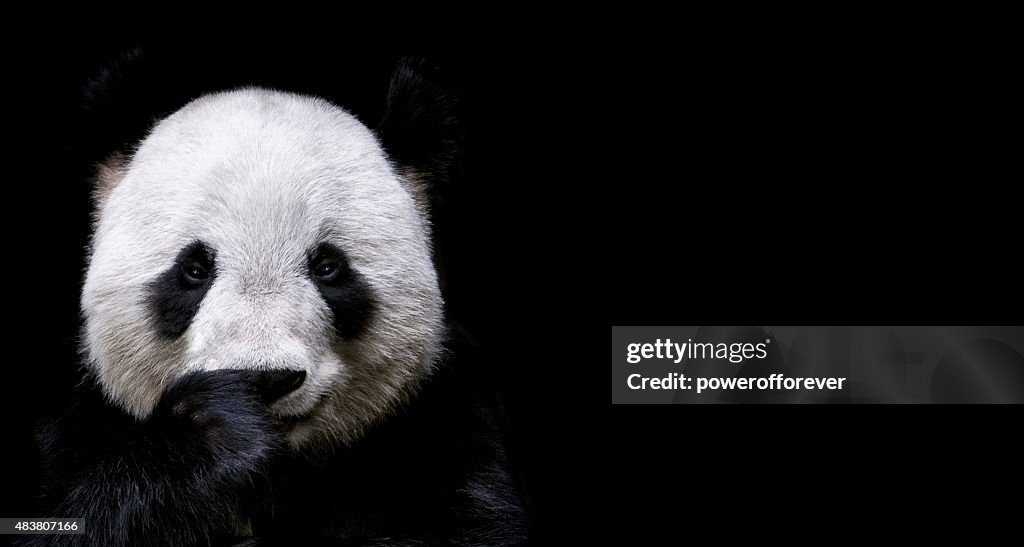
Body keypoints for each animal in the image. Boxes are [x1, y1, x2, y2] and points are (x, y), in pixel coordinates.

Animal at [21, 58, 530, 546]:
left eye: (327, 267)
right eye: (194, 270)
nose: (266, 379)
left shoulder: (447, 417)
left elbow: (469, 525)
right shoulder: (72, 419)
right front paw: (214, 432)